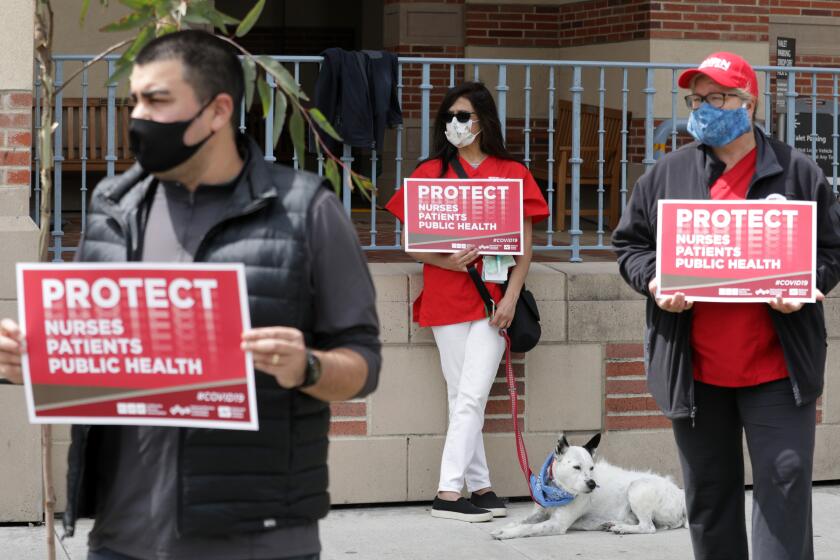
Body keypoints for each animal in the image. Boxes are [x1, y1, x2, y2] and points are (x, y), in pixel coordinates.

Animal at [496, 434, 684, 540]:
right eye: (576, 467)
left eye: (592, 468)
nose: (592, 484)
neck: (558, 490)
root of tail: (680, 495)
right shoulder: (539, 513)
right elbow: (522, 521)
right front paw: (506, 527)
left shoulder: (557, 524)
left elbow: (529, 527)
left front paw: (506, 533)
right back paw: (612, 524)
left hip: (636, 487)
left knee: (648, 527)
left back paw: (621, 528)